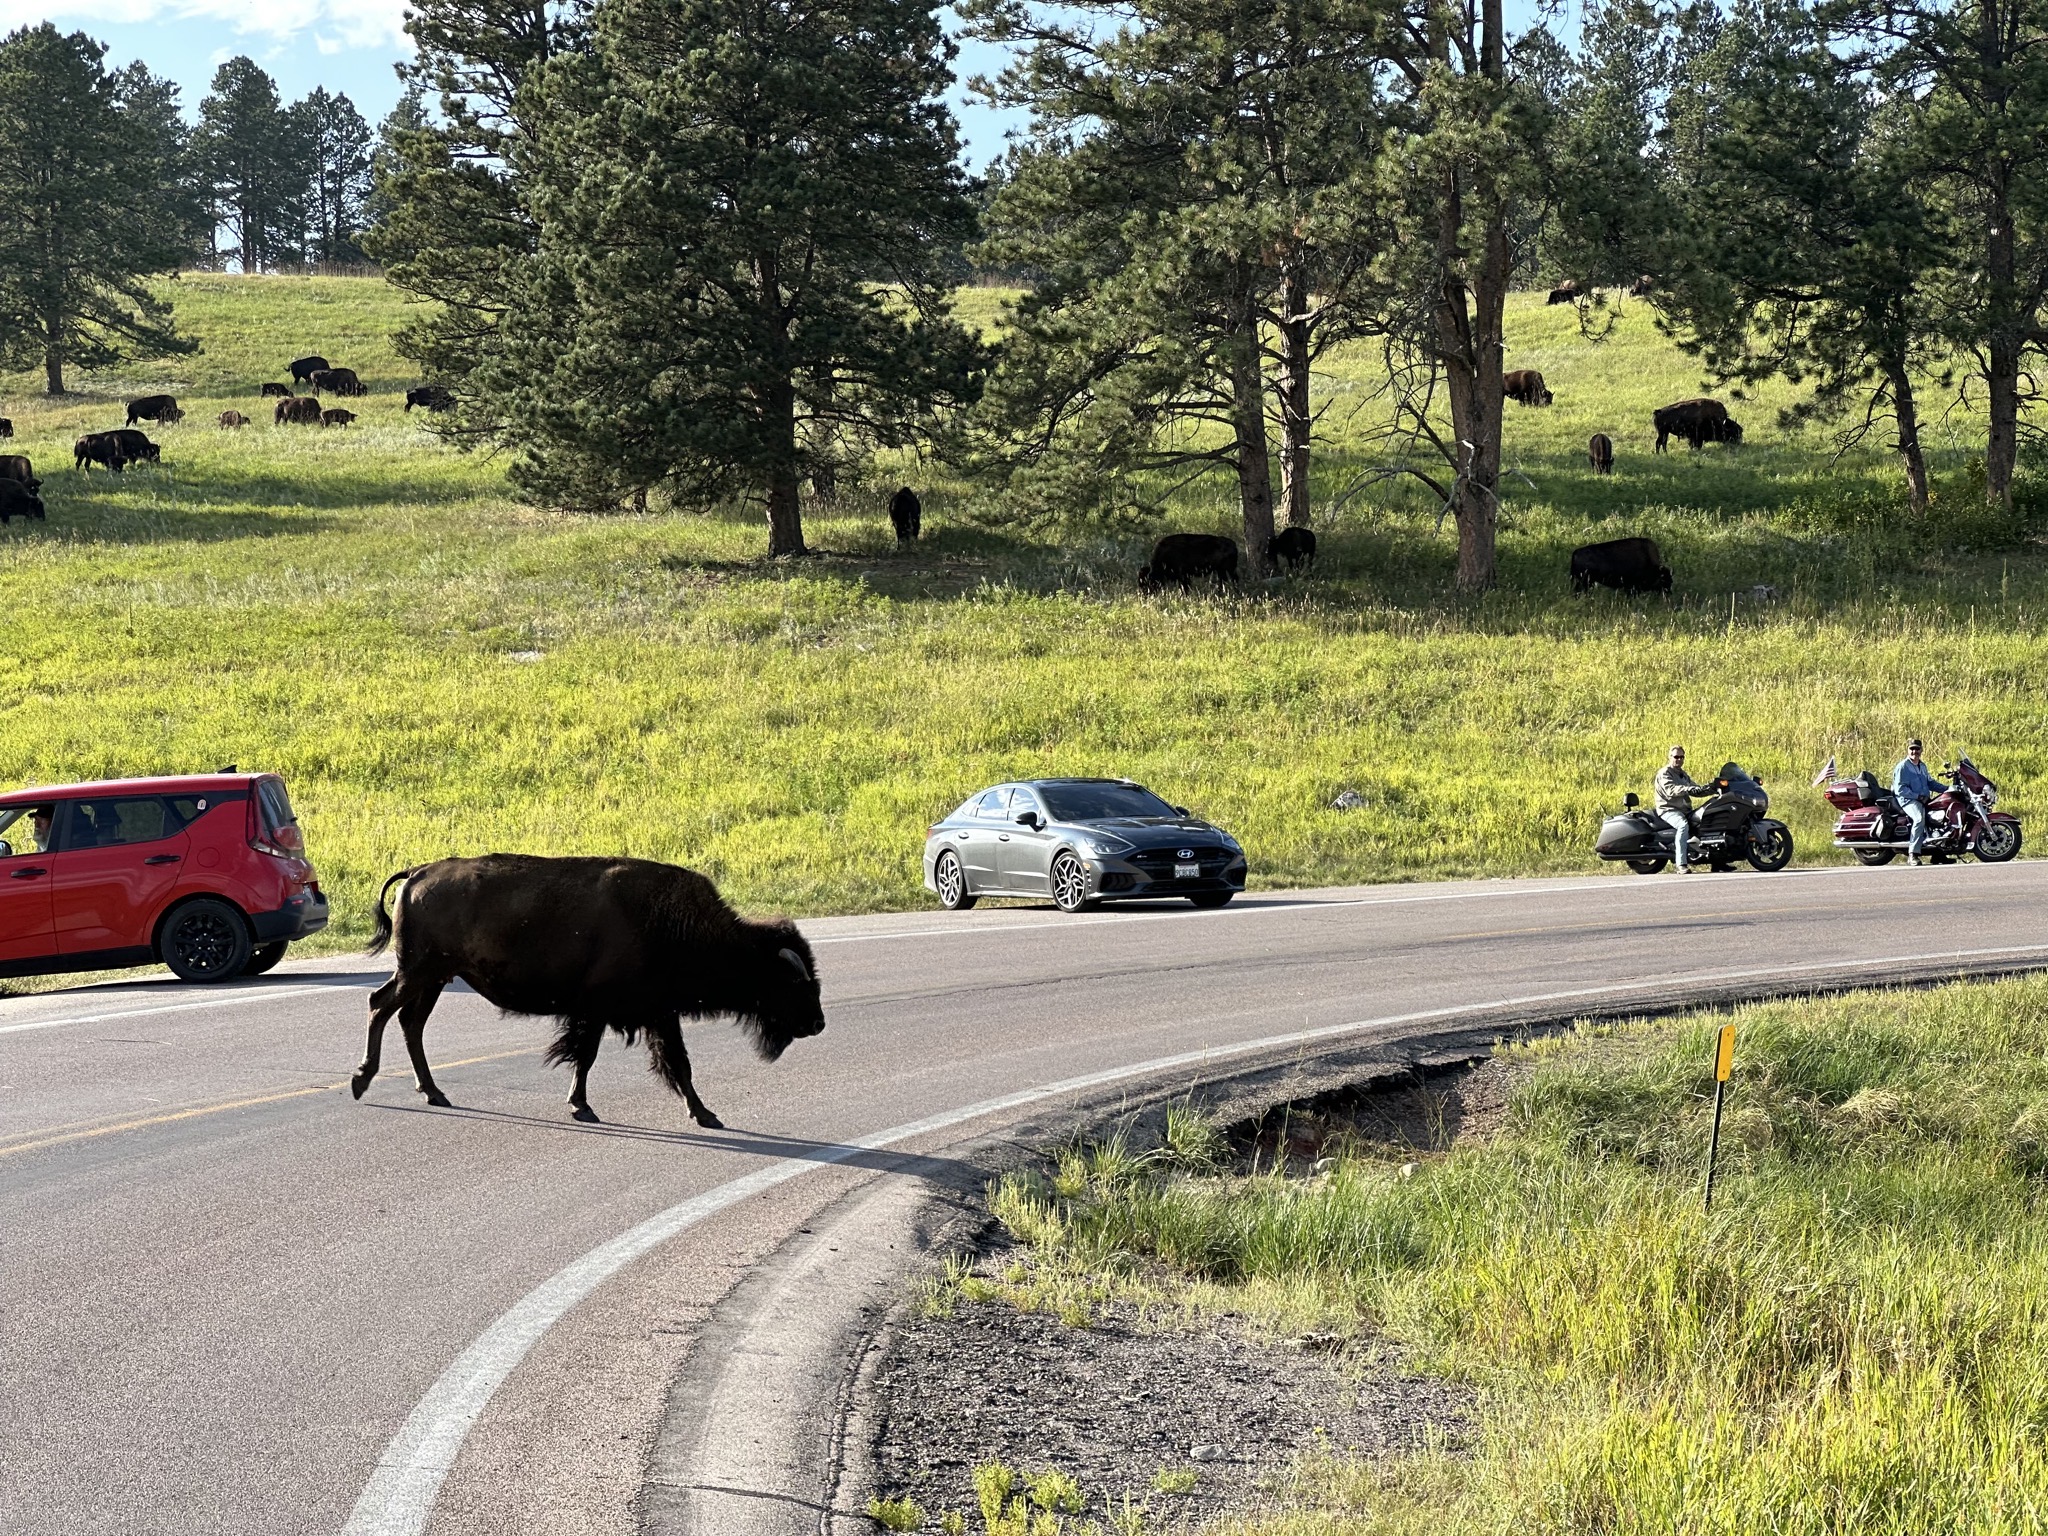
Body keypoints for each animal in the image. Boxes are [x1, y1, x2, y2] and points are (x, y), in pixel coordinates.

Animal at [356, 855, 826, 1127]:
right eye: (793, 982)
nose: (818, 1023)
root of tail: (417, 873)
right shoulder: (607, 1010)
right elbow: (591, 1056)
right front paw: (582, 1107)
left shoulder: (655, 1013)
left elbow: (674, 1064)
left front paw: (705, 1113)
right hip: (419, 972)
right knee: (381, 1005)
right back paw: (362, 1081)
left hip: (434, 978)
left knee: (410, 1022)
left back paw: (435, 1093)